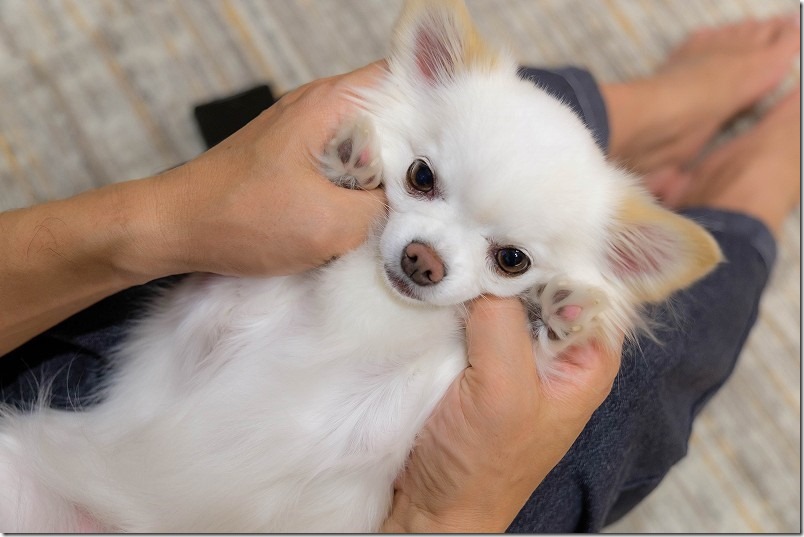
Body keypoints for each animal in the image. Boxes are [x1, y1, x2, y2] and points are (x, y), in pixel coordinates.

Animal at [0, 0, 720, 532]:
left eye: (512, 260)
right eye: (421, 177)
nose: (422, 260)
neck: (374, 301)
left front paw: (558, 309)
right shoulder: (215, 310)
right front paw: (353, 163)